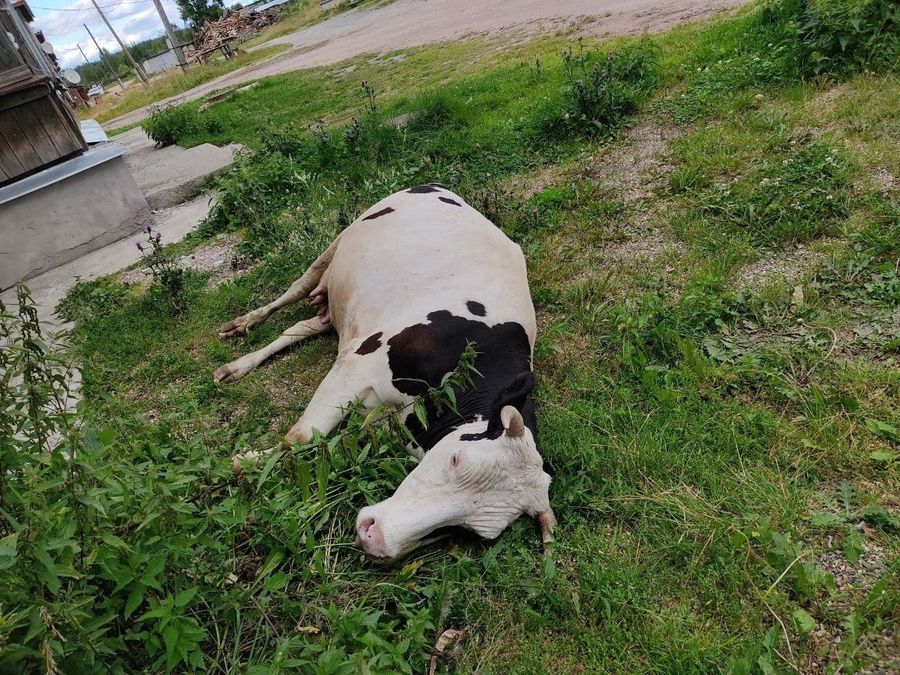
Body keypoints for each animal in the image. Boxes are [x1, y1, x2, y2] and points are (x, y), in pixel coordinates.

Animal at [214, 184, 556, 563]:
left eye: (470, 531)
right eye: (456, 459)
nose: (373, 537)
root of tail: (438, 186)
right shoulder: (358, 361)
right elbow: (302, 436)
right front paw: (245, 463)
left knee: (303, 326)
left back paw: (238, 365)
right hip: (335, 246)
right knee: (291, 293)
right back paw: (239, 337)